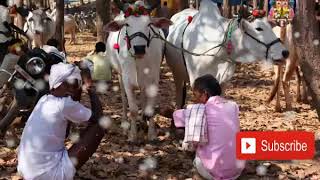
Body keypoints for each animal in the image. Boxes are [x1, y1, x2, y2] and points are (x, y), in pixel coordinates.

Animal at [105, 12, 171, 143]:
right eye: (127, 24)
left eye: (149, 24)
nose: (139, 48)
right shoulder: (127, 81)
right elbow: (133, 109)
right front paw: (132, 135)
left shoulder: (153, 81)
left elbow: (150, 108)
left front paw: (152, 135)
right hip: (120, 75)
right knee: (124, 99)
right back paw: (125, 123)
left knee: (142, 97)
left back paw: (143, 121)